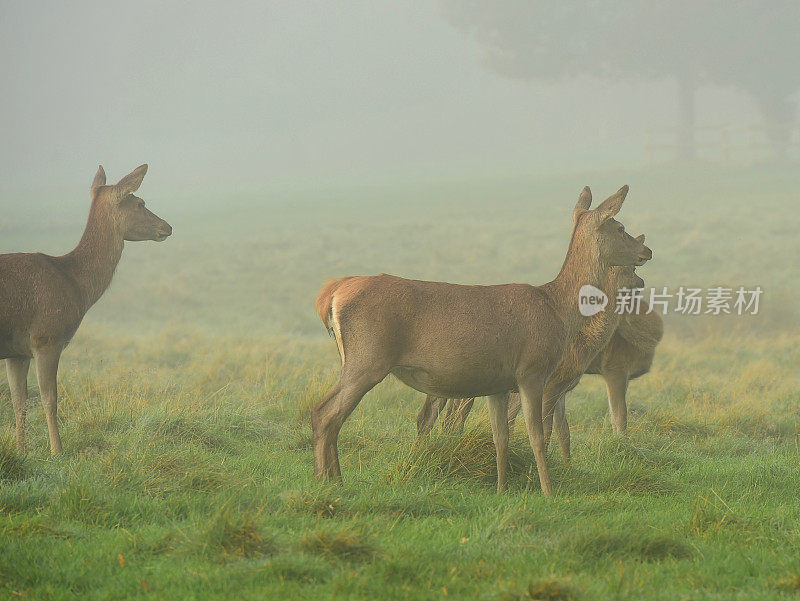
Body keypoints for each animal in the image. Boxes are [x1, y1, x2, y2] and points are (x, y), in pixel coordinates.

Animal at [1, 162, 172, 452]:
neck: (74, 285)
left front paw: (21, 451)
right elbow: (49, 398)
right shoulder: (47, 337)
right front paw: (57, 450)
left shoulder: (17, 352)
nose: (167, 226)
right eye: (140, 203)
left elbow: (19, 402)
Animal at [312, 185, 648, 494]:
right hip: (368, 358)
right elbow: (537, 434)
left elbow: (500, 437)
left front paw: (500, 489)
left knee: (330, 415)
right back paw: (327, 482)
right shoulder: (532, 371)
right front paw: (549, 491)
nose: (648, 252)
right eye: (620, 227)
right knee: (325, 413)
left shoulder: (497, 384)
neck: (558, 310)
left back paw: (333, 480)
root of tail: (332, 293)